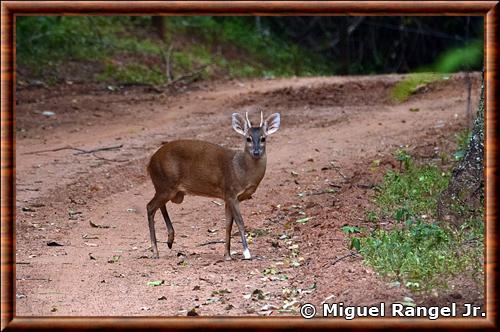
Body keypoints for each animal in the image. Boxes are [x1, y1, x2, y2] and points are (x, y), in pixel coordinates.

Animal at [146, 110, 282, 260]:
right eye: (248, 138)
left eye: (263, 138)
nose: (256, 152)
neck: (241, 171)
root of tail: (150, 163)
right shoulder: (230, 191)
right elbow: (240, 222)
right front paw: (247, 253)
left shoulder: (228, 197)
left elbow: (228, 224)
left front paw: (227, 255)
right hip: (165, 184)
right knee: (150, 207)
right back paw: (155, 251)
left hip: (169, 190)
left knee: (158, 205)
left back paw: (170, 240)